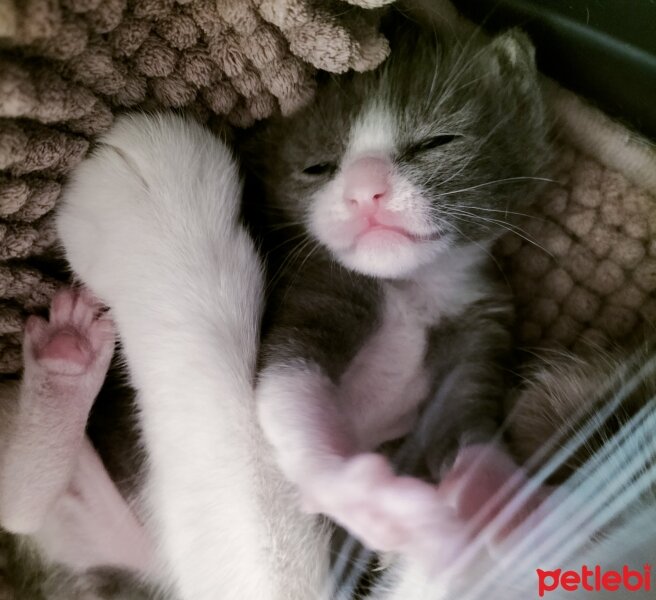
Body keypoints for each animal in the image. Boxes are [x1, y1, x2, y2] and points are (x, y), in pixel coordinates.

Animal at [243, 15, 552, 568]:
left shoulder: (481, 321)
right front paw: (370, 497)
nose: (366, 190)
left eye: (437, 141)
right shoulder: (315, 288)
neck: (412, 287)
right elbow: (287, 386)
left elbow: (468, 423)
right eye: (317, 166)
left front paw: (510, 506)